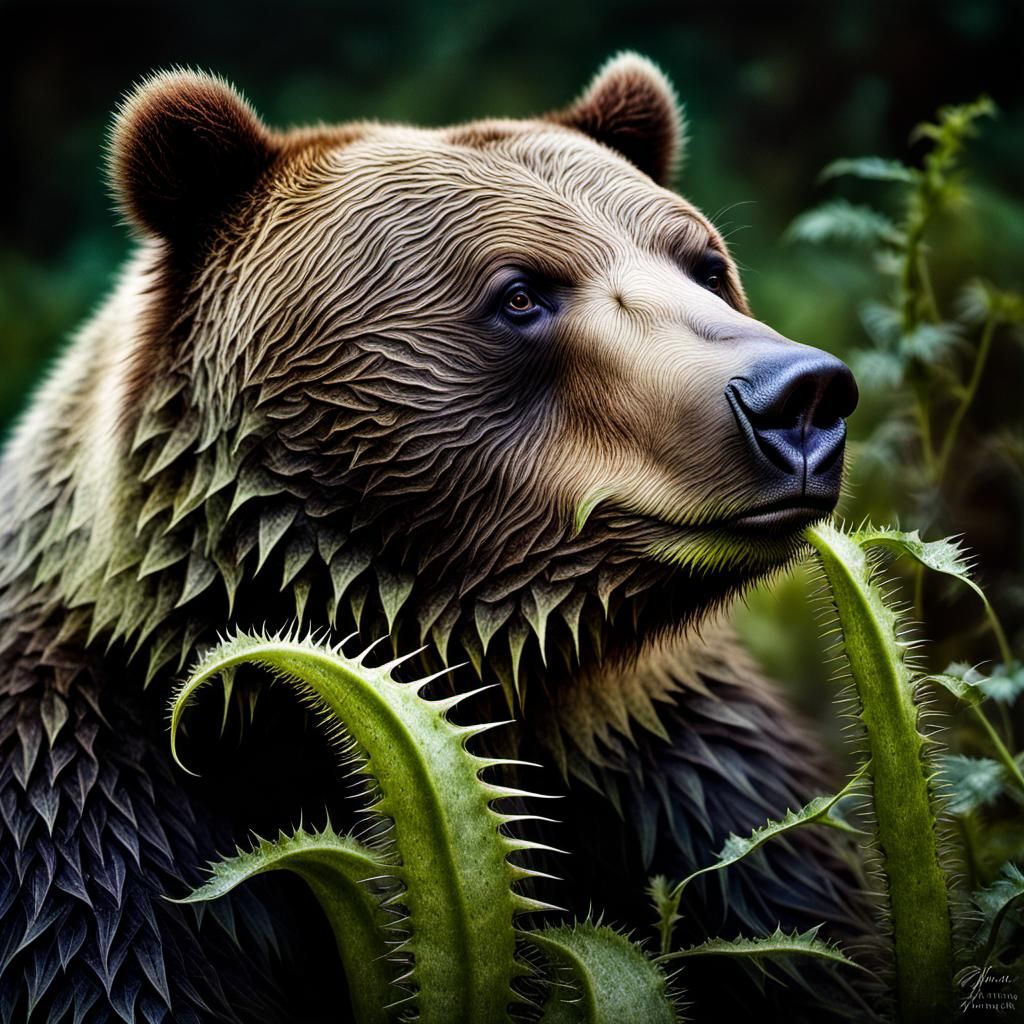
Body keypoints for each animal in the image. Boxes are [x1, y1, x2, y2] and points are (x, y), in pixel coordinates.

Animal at [0, 54, 878, 1023]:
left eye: (707, 266)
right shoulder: (89, 808)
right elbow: (110, 953)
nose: (798, 397)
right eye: (521, 292)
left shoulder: (680, 768)